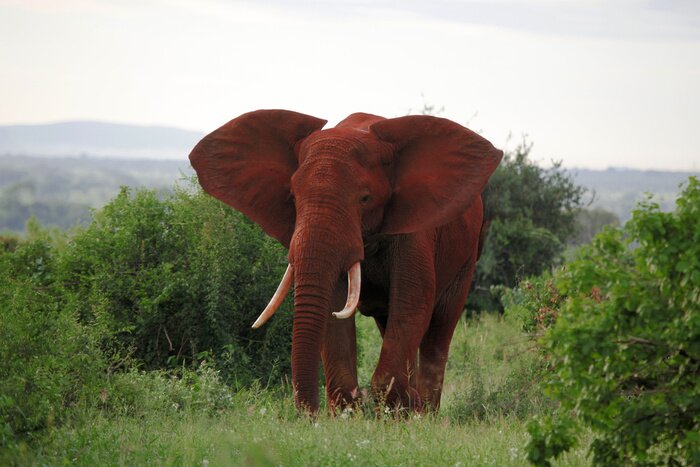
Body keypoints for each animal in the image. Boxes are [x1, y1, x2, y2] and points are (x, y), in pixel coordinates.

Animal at [189, 109, 503, 414]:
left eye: (365, 199)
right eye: (293, 198)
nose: (309, 417)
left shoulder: (416, 229)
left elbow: (413, 301)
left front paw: (396, 415)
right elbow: (334, 304)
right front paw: (351, 415)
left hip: (467, 258)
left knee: (438, 329)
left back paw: (423, 412)